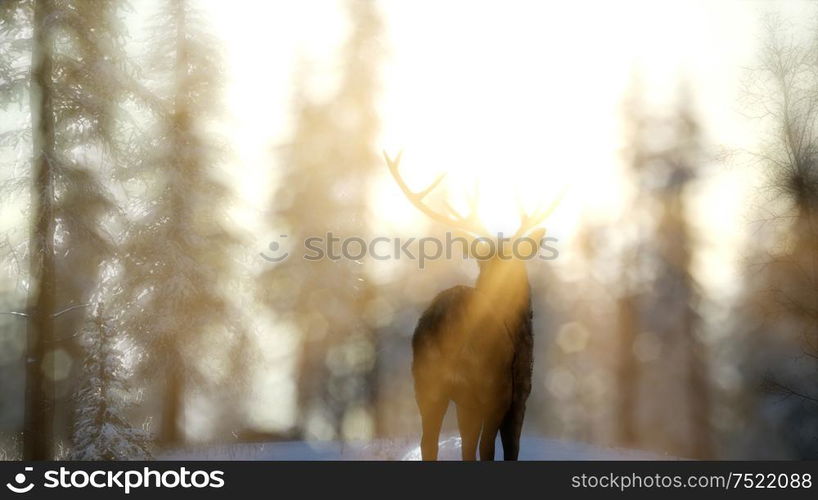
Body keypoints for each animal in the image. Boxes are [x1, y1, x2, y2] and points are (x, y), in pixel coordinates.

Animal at [386, 149, 556, 460]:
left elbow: (468, 447)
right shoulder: (520, 391)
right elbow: (509, 449)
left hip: (425, 383)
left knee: (428, 442)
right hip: (490, 385)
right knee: (485, 447)